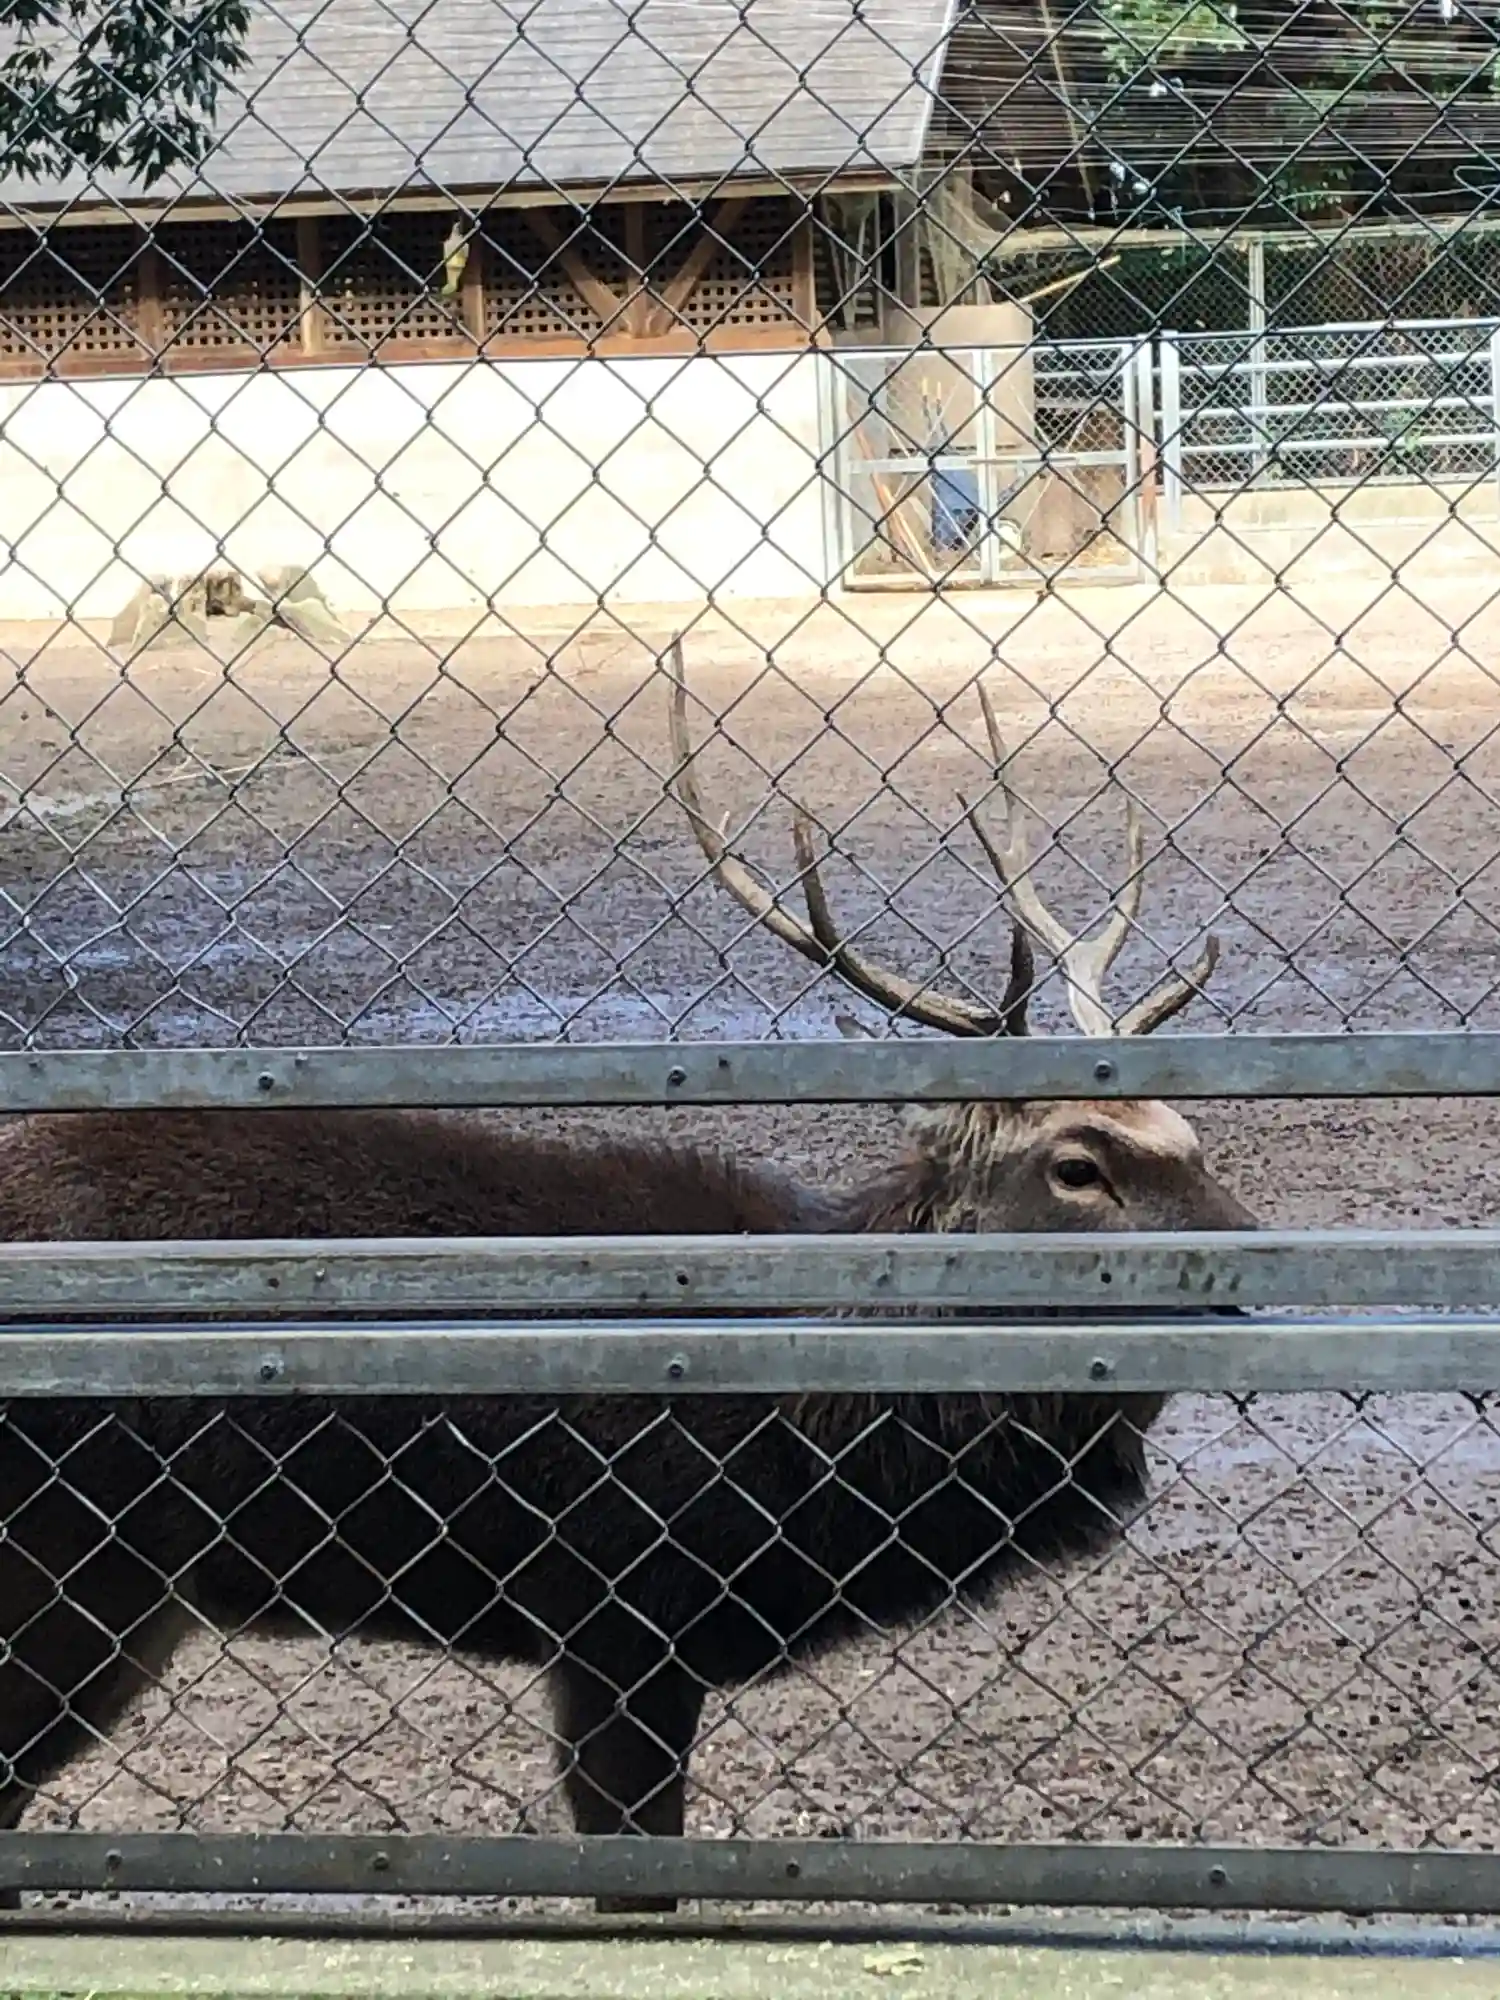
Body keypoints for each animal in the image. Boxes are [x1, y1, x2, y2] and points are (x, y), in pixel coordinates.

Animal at [0, 639, 1253, 1913]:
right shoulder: (617, 1613)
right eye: (1078, 1164)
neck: (812, 1448)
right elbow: (635, 1870)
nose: (1251, 1246)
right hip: (66, 1564)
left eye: (1194, 1136)